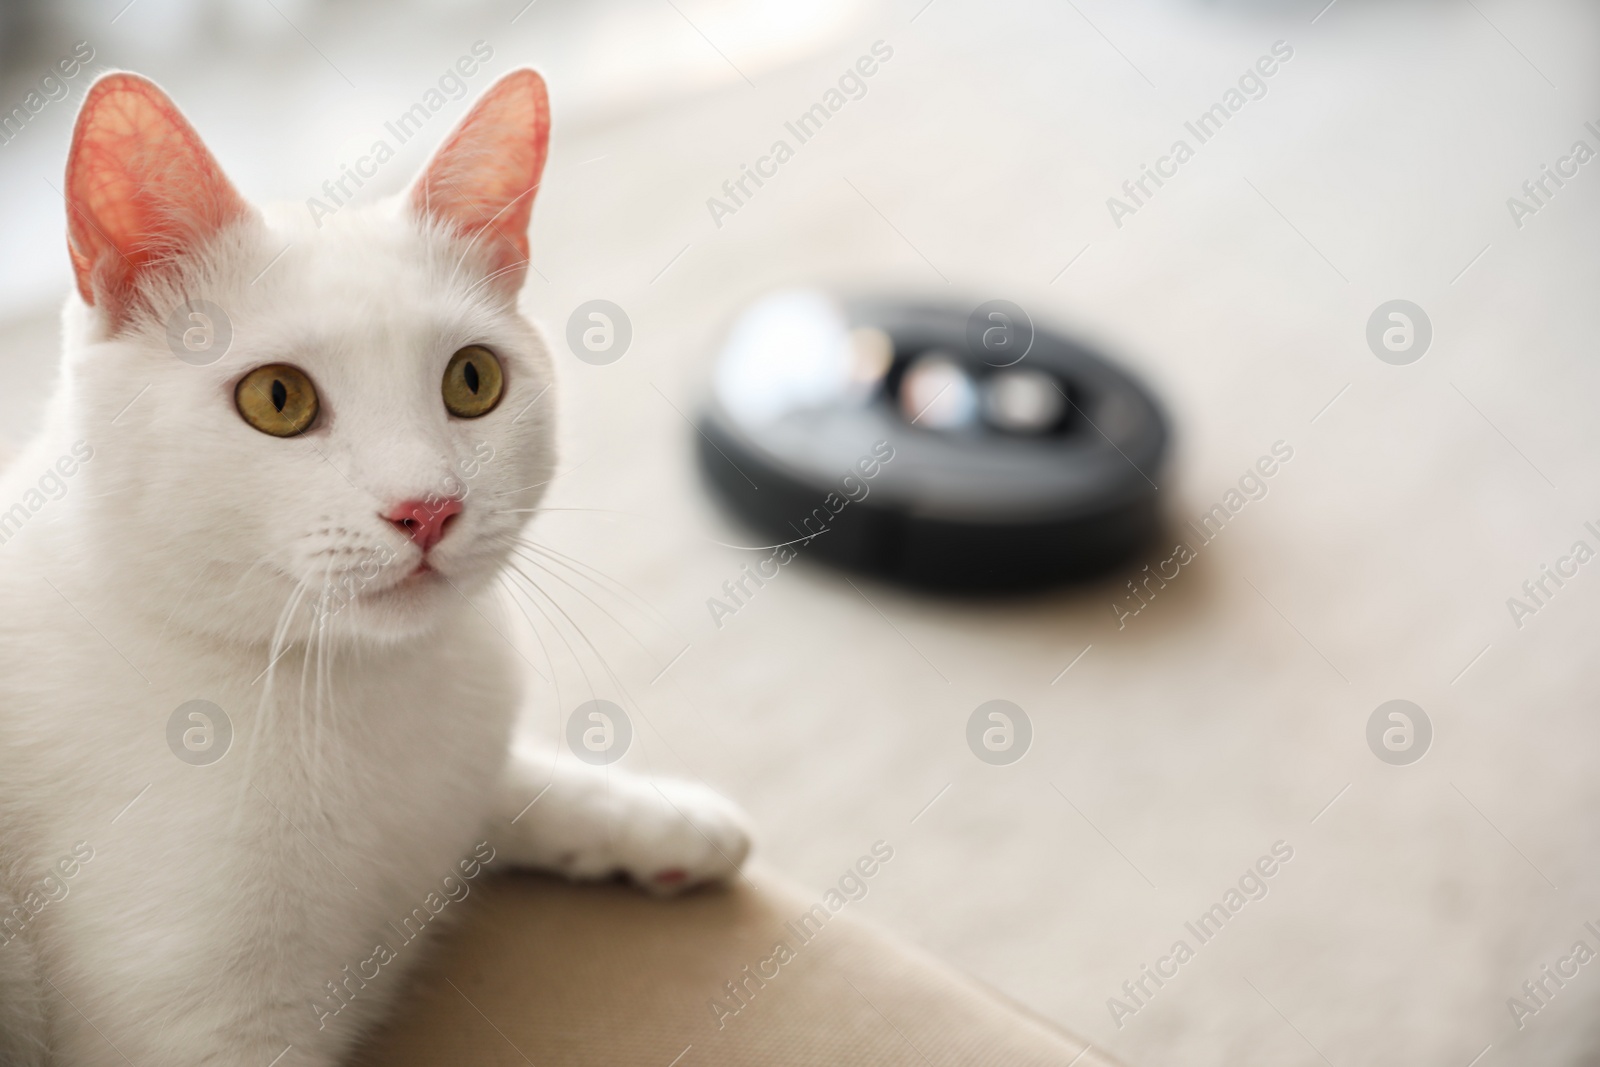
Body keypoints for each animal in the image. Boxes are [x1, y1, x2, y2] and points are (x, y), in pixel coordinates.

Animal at [0, 70, 755, 1062]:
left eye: (473, 380)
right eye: (277, 397)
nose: (427, 507)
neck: (356, 685)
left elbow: (508, 781)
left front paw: (658, 818)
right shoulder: (200, 1030)